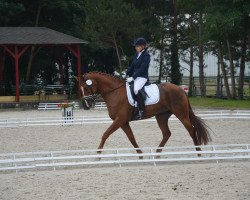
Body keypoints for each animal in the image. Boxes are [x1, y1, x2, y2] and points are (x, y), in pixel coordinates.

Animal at [78, 72, 211, 156]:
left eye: (87, 87)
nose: (88, 104)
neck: (114, 92)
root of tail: (181, 90)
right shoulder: (123, 122)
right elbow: (131, 138)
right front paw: (141, 155)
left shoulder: (120, 120)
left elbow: (105, 134)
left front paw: (98, 154)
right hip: (161, 116)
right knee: (167, 133)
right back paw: (157, 154)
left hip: (181, 114)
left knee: (191, 130)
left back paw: (199, 154)